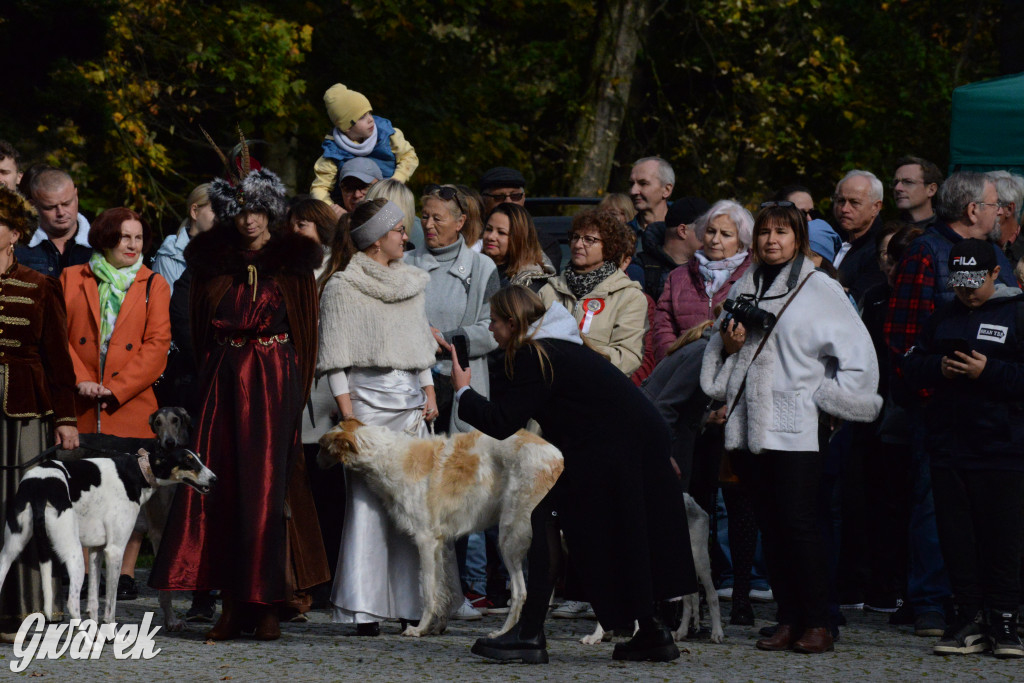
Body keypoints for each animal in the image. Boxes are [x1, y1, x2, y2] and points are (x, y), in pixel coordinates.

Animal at [0, 409, 214, 626]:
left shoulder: (96, 550)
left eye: (199, 458)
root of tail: (40, 485)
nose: (214, 479)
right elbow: (110, 607)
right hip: (73, 553)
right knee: (73, 603)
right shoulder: (115, 550)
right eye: (188, 461)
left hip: (12, 548)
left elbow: (94, 603)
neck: (138, 471)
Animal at [317, 419, 565, 638]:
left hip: (509, 539)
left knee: (520, 592)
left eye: (320, 446)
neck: (387, 454)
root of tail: (557, 457)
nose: (316, 462)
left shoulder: (425, 540)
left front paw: (419, 629)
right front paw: (437, 627)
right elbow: (443, 590)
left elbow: (428, 592)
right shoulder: (440, 543)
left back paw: (503, 633)